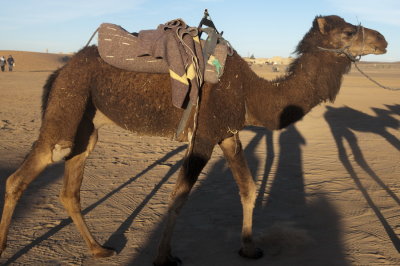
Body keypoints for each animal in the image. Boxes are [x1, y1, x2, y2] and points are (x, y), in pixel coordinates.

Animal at [0, 15, 388, 264]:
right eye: (349, 31)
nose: (383, 40)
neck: (251, 93)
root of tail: (60, 69)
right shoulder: (203, 136)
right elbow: (179, 195)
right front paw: (163, 257)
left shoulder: (228, 134)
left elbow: (248, 188)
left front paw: (249, 247)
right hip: (68, 106)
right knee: (23, 174)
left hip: (86, 122)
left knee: (70, 185)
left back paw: (100, 249)